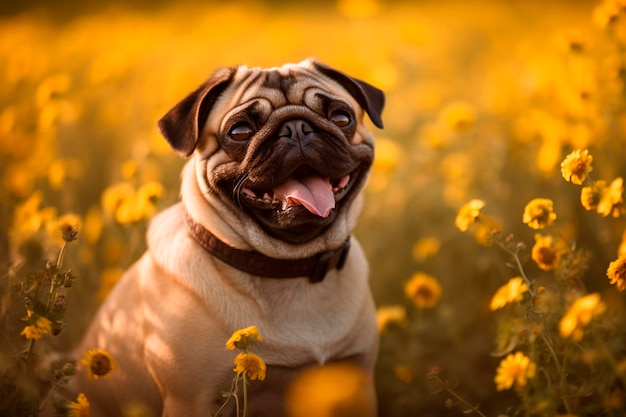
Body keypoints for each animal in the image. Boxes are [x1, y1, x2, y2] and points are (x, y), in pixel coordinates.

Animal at [75, 58, 382, 416]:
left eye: (341, 118)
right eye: (240, 131)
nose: (297, 128)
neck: (290, 269)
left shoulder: (357, 388)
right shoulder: (188, 401)